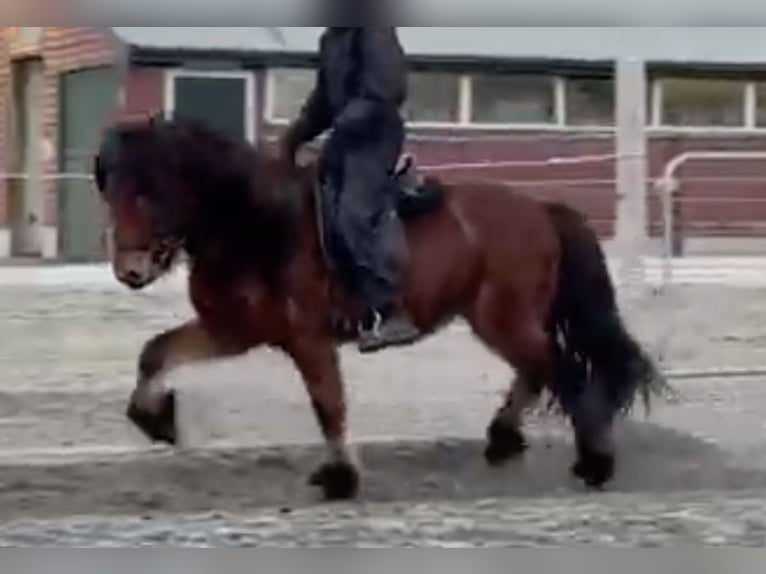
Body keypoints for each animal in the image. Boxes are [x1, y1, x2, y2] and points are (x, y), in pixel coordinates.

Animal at [93, 116, 670, 501]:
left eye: (149, 191)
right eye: (110, 189)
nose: (129, 271)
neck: (256, 224)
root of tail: (541, 209)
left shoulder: (307, 339)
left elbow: (329, 404)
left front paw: (340, 478)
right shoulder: (231, 329)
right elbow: (156, 353)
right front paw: (155, 420)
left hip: (504, 318)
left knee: (561, 369)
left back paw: (594, 463)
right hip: (496, 319)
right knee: (537, 369)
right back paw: (505, 440)